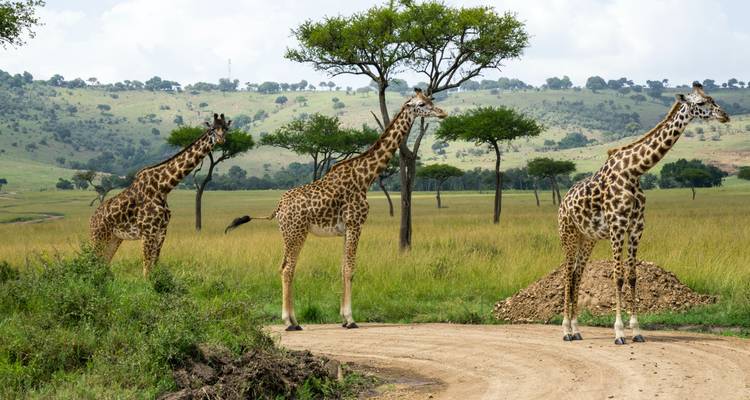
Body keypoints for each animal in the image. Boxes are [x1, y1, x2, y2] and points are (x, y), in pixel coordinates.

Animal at [90, 113, 232, 276]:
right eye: (212, 129)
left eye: (226, 128)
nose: (221, 139)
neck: (163, 187)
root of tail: (91, 219)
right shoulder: (147, 231)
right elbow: (146, 269)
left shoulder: (162, 231)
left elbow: (155, 265)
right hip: (98, 236)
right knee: (92, 262)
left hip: (114, 238)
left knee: (103, 263)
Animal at [225, 89, 447, 331]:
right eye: (421, 104)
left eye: (431, 100)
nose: (442, 113)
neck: (366, 177)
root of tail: (279, 207)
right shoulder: (355, 224)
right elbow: (350, 269)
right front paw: (350, 319)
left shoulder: (346, 229)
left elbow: (342, 268)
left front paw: (343, 318)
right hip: (296, 233)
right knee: (287, 268)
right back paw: (289, 322)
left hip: (288, 234)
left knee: (284, 266)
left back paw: (295, 321)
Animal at [557, 83, 729, 344]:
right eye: (700, 103)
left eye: (712, 98)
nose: (724, 115)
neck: (634, 171)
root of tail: (562, 203)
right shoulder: (617, 227)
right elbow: (617, 276)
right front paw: (618, 332)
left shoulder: (637, 227)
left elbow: (632, 276)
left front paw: (636, 330)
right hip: (568, 233)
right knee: (567, 274)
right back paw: (566, 330)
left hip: (588, 238)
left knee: (577, 274)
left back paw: (577, 330)